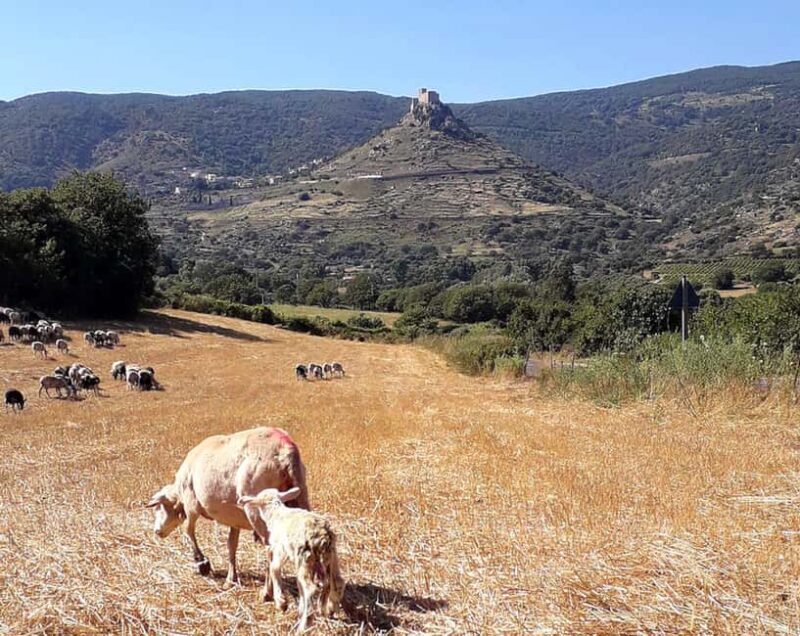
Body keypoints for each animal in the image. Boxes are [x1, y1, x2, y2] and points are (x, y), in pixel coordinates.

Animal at [147, 427, 310, 588]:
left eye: (159, 507)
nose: (157, 531)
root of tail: (286, 449)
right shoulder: (235, 519)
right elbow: (232, 544)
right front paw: (231, 578)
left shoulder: (191, 504)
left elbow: (188, 530)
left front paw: (202, 563)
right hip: (300, 495)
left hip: (257, 508)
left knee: (271, 547)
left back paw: (268, 589)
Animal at [239, 487, 344, 632]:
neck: (275, 513)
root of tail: (323, 537)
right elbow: (298, 585)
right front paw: (299, 607)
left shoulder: (280, 549)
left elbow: (274, 568)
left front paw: (281, 602)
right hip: (331, 556)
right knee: (337, 581)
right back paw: (330, 610)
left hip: (305, 558)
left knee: (310, 588)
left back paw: (304, 626)